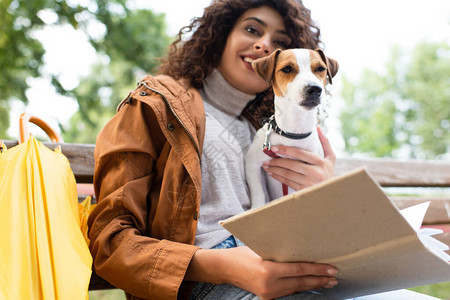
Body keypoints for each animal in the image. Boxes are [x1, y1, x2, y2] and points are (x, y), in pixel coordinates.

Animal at [244, 48, 340, 209]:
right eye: (287, 69)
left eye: (321, 68)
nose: (315, 89)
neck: (293, 132)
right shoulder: (251, 163)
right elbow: (257, 191)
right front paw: (256, 207)